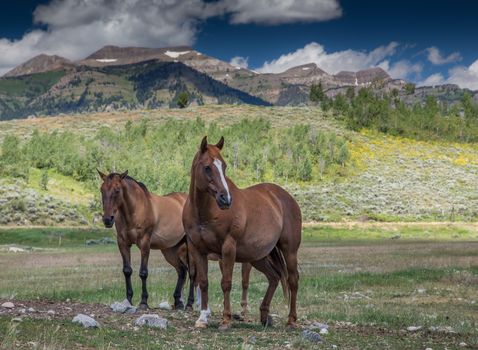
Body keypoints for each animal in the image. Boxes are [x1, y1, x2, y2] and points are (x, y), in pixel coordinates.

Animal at [98, 171, 195, 310]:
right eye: (102, 190)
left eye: (117, 190)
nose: (107, 219)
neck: (134, 210)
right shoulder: (123, 243)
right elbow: (127, 271)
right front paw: (128, 300)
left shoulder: (144, 244)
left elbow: (143, 273)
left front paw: (143, 302)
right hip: (170, 249)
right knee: (182, 271)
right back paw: (178, 302)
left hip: (189, 246)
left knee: (192, 273)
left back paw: (189, 304)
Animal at [181, 136, 300, 328]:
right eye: (207, 167)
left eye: (224, 166)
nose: (226, 199)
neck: (204, 212)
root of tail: (286, 198)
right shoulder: (197, 249)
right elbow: (203, 282)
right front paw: (202, 318)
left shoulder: (228, 248)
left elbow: (226, 283)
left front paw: (226, 319)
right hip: (258, 256)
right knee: (274, 277)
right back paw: (264, 316)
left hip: (289, 251)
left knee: (293, 280)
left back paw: (291, 320)